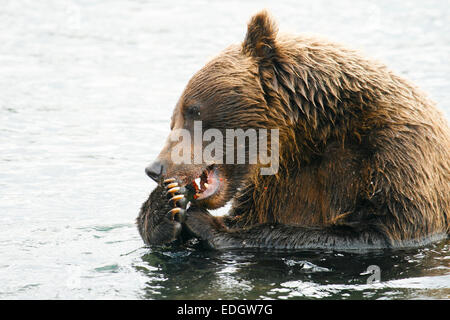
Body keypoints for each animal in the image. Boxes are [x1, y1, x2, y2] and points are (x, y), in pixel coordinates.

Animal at [136, 10, 450, 250]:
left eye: (194, 110)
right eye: (173, 120)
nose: (155, 168)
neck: (312, 133)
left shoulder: (397, 153)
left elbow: (382, 229)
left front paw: (206, 223)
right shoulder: (276, 182)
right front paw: (167, 205)